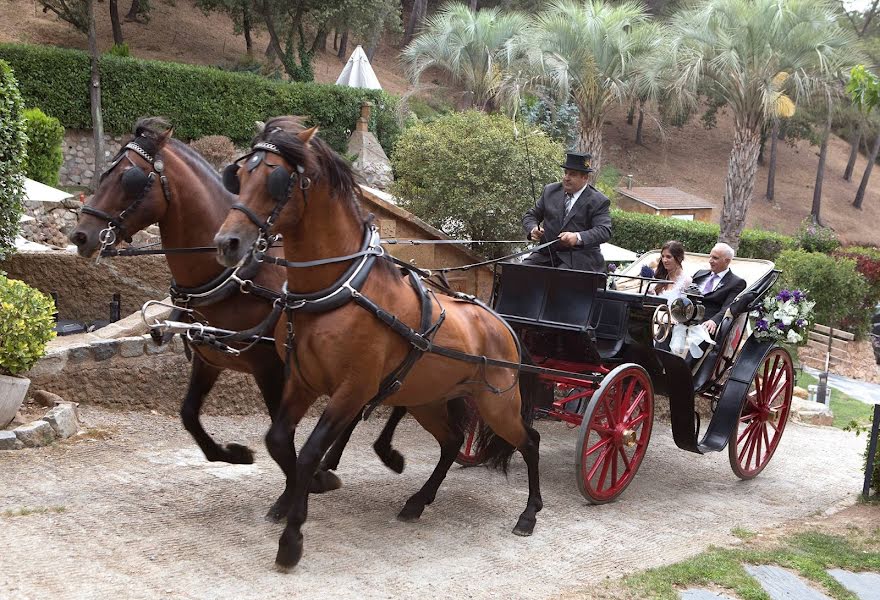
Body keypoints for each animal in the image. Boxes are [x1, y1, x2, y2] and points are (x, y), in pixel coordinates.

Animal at [68, 118, 406, 520]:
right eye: (105, 173)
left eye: (128, 178)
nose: (80, 235)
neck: (236, 277)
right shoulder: (209, 357)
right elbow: (188, 414)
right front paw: (234, 454)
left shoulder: (272, 368)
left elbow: (280, 433)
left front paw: (303, 486)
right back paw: (337, 459)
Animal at [215, 117, 544, 572]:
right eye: (240, 175)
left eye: (276, 180)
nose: (226, 243)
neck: (336, 289)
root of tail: (502, 324)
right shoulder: (302, 380)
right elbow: (279, 441)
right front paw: (299, 494)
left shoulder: (352, 389)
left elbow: (310, 450)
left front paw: (293, 536)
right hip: (429, 399)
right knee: (452, 442)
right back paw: (419, 501)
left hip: (497, 405)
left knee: (529, 442)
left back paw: (529, 514)